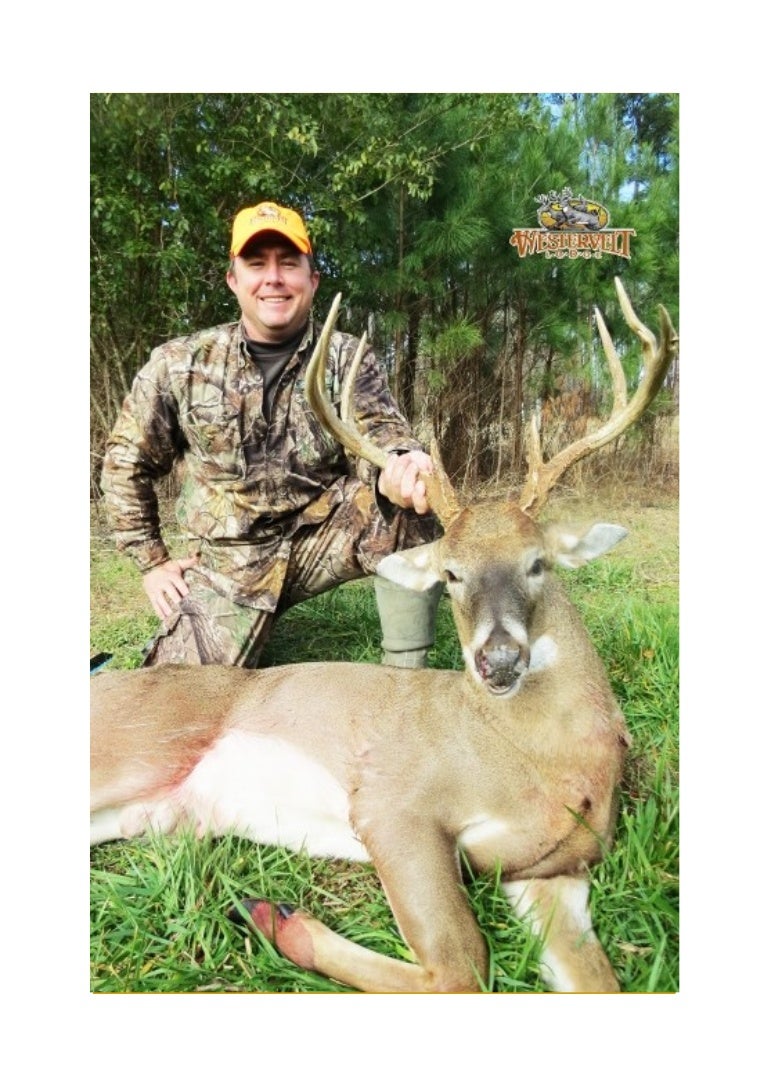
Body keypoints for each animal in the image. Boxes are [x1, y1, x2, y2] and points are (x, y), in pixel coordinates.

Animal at [90, 278, 678, 994]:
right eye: (451, 574)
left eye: (538, 562)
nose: (498, 660)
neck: (555, 767)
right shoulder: (393, 801)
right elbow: (460, 964)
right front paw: (275, 917)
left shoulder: (554, 869)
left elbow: (599, 982)